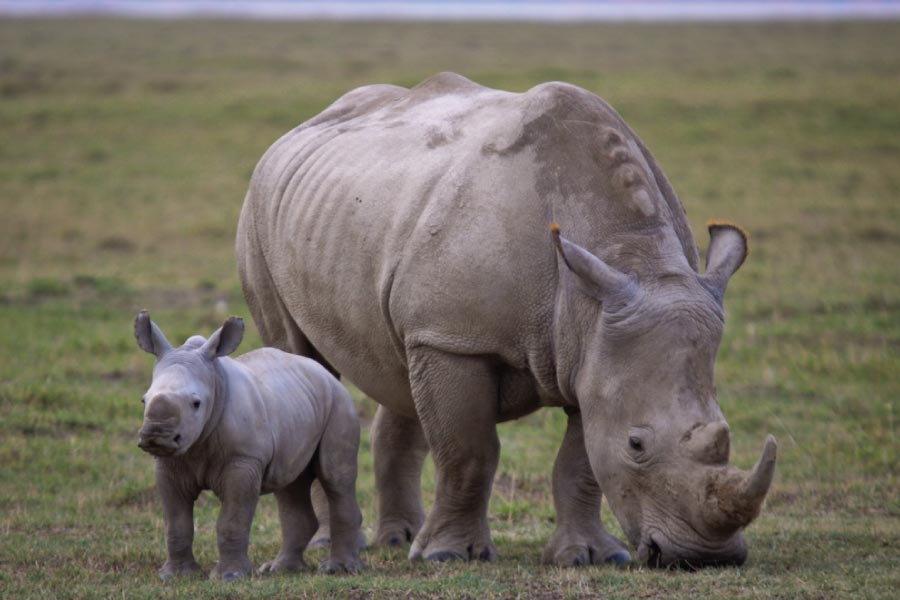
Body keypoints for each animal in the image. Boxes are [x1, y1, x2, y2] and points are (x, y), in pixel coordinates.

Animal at [134, 310, 364, 580]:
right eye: (143, 400)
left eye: (196, 403)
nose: (156, 436)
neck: (216, 382)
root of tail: (326, 373)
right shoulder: (169, 464)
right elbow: (176, 522)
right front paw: (176, 575)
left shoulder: (243, 460)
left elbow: (232, 520)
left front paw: (230, 576)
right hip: (295, 404)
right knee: (289, 484)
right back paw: (280, 569)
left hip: (339, 404)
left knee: (335, 479)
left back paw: (337, 569)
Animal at [236, 72, 777, 568]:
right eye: (637, 443)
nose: (704, 557)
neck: (628, 256)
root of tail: (303, 126)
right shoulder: (454, 338)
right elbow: (470, 451)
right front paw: (449, 556)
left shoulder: (590, 348)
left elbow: (580, 463)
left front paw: (588, 556)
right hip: (260, 208)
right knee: (303, 361)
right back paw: (338, 546)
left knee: (396, 368)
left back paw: (396, 540)